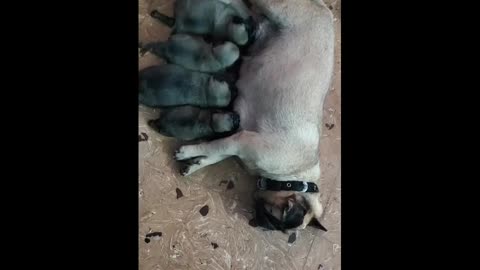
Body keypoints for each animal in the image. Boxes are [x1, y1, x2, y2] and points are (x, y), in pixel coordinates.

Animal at [172, 0, 334, 231]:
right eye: (275, 220)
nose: (260, 224)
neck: (294, 175)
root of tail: (323, 7)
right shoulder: (242, 142)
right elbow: (212, 146)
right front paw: (188, 152)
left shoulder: (238, 141)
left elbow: (215, 153)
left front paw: (196, 163)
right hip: (276, 8)